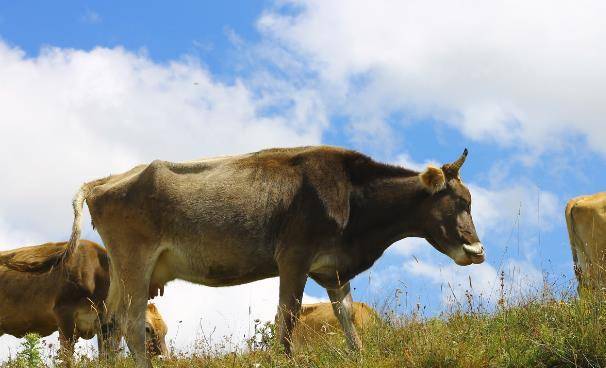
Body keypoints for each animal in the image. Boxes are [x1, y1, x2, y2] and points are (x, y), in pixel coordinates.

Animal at [0, 240, 169, 360]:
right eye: (147, 328)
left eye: (165, 330)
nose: (164, 358)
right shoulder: (64, 314)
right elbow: (67, 357)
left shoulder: (104, 326)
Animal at [64, 145, 486, 366]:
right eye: (457, 203)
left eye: (469, 201)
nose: (477, 250)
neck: (351, 196)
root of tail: (105, 181)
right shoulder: (293, 258)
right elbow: (288, 314)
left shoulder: (332, 269)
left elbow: (347, 315)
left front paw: (359, 354)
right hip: (135, 259)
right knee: (131, 323)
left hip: (122, 270)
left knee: (109, 322)